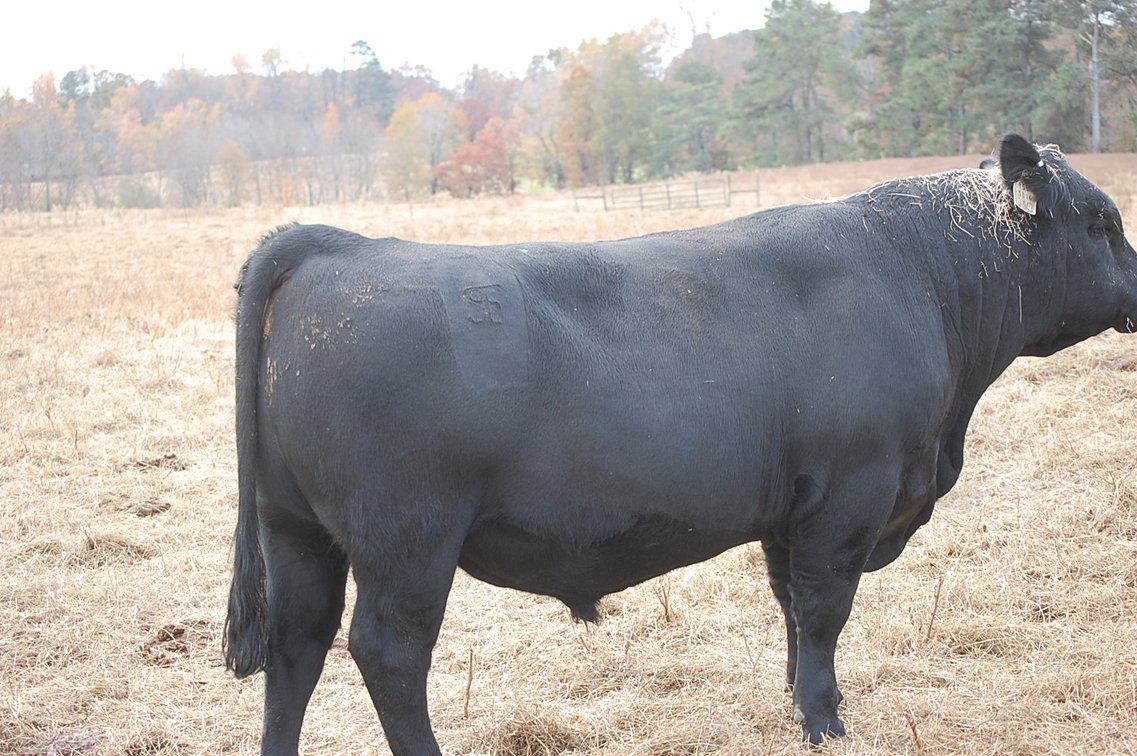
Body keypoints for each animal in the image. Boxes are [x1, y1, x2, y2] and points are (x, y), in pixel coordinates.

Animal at [224, 134, 1137, 753]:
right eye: (1100, 220)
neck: (919, 276)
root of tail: (335, 245)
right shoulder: (848, 496)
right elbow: (823, 611)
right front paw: (824, 721)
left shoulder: (791, 512)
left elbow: (790, 610)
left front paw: (799, 704)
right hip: (406, 538)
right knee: (386, 653)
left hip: (295, 529)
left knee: (296, 648)